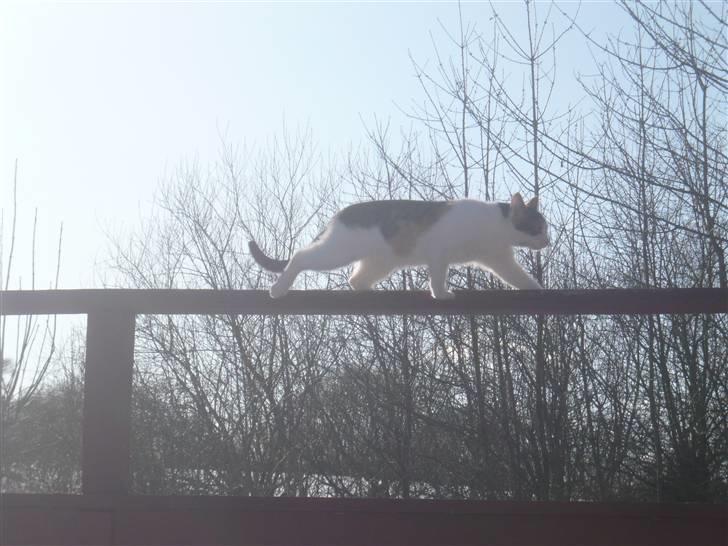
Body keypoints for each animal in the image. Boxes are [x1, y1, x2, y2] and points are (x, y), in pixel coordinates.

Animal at [247, 193, 548, 300]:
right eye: (538, 228)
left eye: (546, 229)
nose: (548, 241)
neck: (495, 225)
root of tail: (340, 214)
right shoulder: (439, 251)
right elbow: (437, 277)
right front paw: (441, 294)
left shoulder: (500, 260)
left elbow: (519, 277)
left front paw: (537, 288)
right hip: (336, 252)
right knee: (299, 257)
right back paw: (278, 288)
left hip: (381, 262)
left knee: (355, 279)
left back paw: (368, 289)